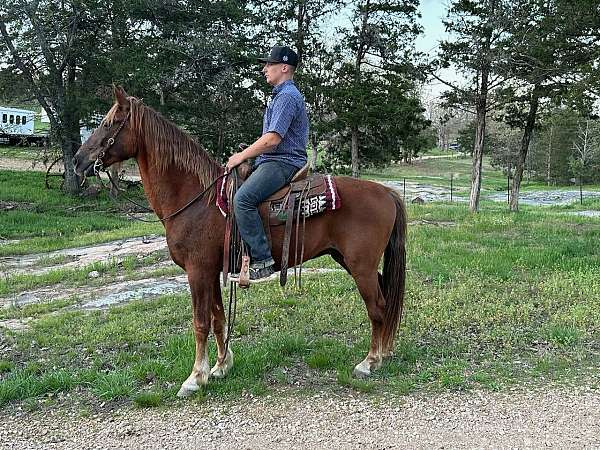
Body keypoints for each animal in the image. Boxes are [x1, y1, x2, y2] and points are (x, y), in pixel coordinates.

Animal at [72, 86, 406, 396]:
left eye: (108, 122)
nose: (77, 161)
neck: (197, 200)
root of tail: (386, 192)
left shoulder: (197, 271)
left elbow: (200, 322)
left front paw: (194, 378)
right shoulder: (211, 271)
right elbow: (218, 318)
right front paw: (221, 366)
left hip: (360, 266)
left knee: (377, 306)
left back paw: (369, 362)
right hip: (351, 262)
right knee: (385, 300)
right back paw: (384, 353)